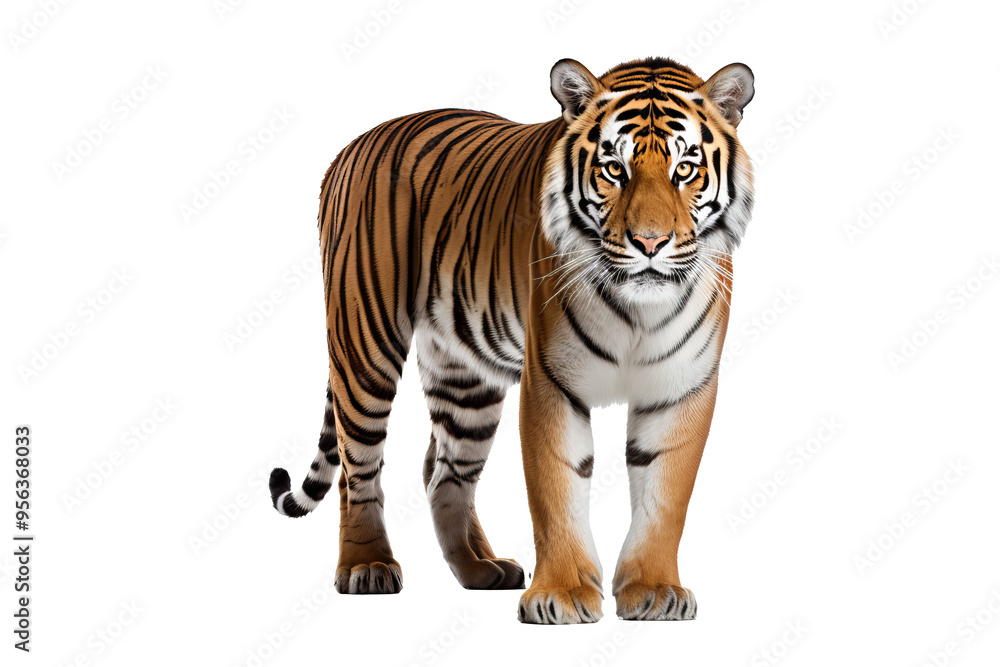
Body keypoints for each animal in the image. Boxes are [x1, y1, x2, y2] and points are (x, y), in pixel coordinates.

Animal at [269, 56, 755, 624]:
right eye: (615, 169)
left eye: (685, 170)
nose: (649, 243)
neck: (638, 309)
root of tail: (350, 148)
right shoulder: (551, 380)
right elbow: (556, 488)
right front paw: (561, 596)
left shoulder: (682, 387)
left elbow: (665, 495)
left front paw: (654, 591)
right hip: (365, 344)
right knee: (357, 465)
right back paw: (367, 566)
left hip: (465, 380)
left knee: (443, 473)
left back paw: (481, 569)